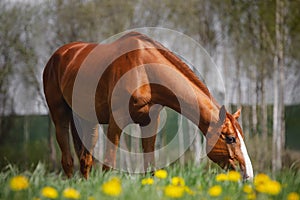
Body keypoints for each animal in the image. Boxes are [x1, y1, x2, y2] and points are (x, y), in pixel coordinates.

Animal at [42, 31, 253, 180]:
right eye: (231, 138)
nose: (248, 175)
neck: (144, 69)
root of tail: (59, 55)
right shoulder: (115, 122)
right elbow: (109, 164)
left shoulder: (150, 124)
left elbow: (150, 166)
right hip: (60, 115)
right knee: (68, 160)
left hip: (86, 120)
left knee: (85, 159)